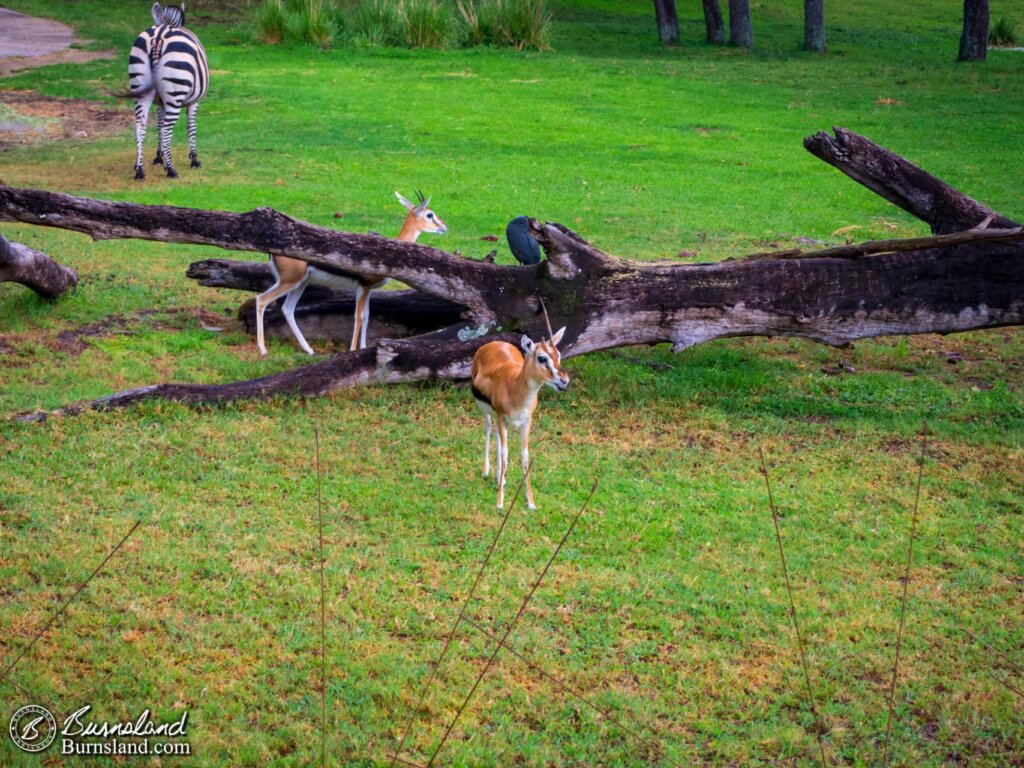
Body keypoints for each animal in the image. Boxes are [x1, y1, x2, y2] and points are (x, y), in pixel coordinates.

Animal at [128, 3, 207, 180]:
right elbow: (191, 126)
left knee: (140, 127)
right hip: (174, 94)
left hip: (141, 90)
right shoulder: (195, 102)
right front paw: (194, 159)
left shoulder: (159, 102)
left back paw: (139, 170)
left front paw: (159, 157)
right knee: (167, 130)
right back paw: (171, 170)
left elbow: (158, 124)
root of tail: (159, 36)